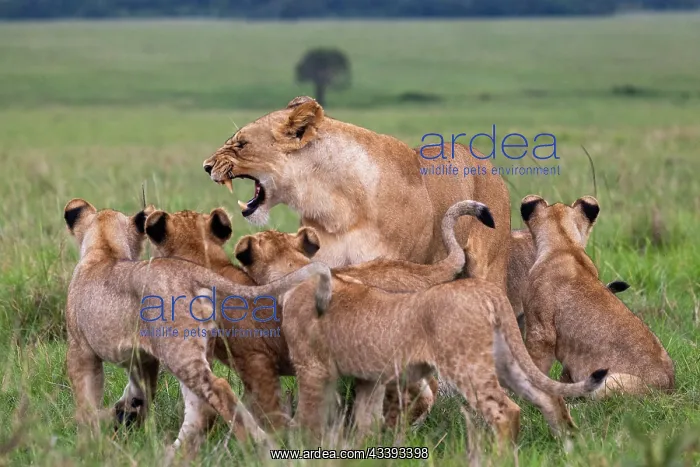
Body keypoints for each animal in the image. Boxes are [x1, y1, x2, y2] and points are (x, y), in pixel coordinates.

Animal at [63, 198, 331, 455]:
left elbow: (86, 398)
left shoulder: (79, 347)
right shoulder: (144, 358)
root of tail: (192, 272)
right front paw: (124, 415)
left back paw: (253, 443)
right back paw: (176, 453)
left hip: (179, 351)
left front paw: (88, 439)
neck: (104, 251)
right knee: (200, 409)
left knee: (219, 391)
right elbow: (141, 390)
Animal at [232, 227, 608, 444]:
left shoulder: (313, 368)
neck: (295, 270)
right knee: (546, 396)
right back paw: (569, 444)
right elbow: (364, 421)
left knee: (500, 409)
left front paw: (296, 443)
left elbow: (308, 417)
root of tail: (485, 290)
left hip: (463, 364)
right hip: (506, 359)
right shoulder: (368, 376)